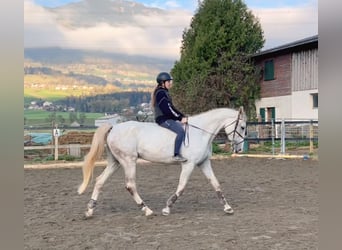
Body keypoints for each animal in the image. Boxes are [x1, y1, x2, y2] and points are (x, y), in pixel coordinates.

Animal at [79, 107, 247, 217]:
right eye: (243, 127)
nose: (239, 149)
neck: (200, 132)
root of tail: (113, 128)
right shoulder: (189, 164)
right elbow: (182, 187)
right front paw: (167, 208)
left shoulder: (204, 163)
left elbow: (216, 184)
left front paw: (228, 208)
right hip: (128, 161)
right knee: (130, 185)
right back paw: (146, 210)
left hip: (116, 162)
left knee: (100, 181)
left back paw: (89, 210)